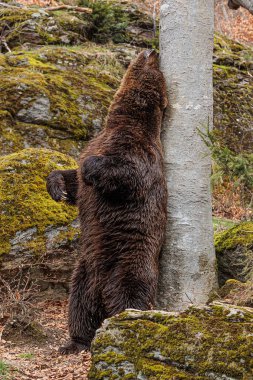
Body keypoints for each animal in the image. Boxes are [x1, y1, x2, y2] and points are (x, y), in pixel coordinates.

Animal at [46, 49, 168, 354]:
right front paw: (57, 188)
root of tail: (102, 292)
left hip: (129, 263)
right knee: (78, 308)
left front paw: (92, 167)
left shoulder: (139, 153)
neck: (119, 122)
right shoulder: (94, 143)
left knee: (131, 296)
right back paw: (74, 342)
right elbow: (75, 180)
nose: (151, 50)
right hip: (83, 272)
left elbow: (126, 174)